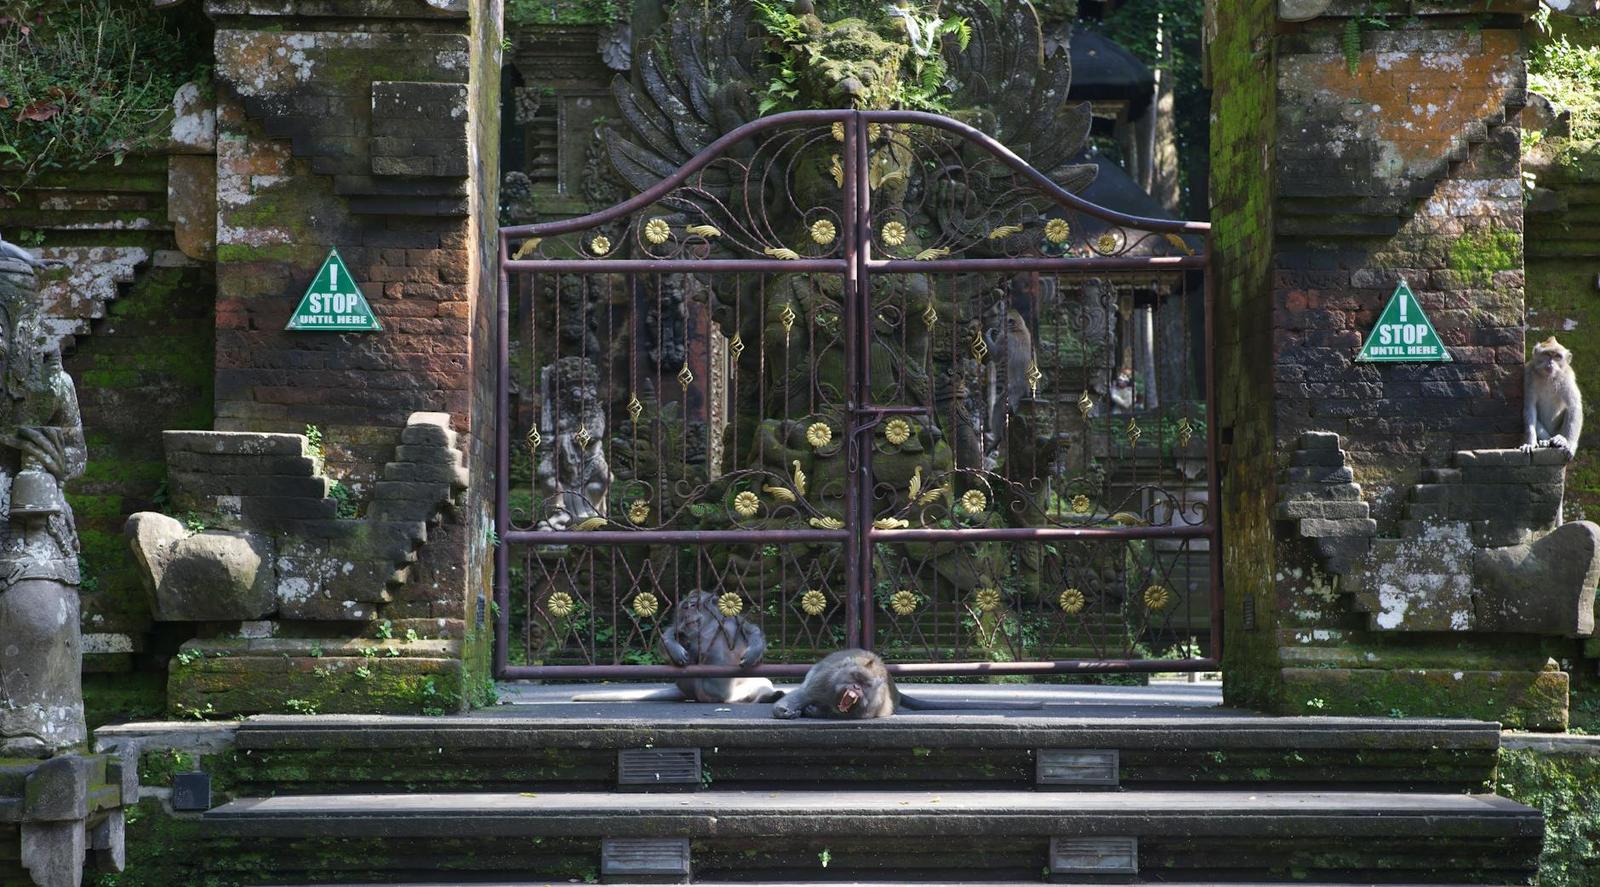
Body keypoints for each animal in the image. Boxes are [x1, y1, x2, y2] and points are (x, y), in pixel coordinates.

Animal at [572, 590, 784, 704]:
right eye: (684, 606)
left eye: (692, 604)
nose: (686, 610)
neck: (709, 626)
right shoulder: (684, 629)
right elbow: (668, 638)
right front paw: (678, 650)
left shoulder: (733, 621)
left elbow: (751, 631)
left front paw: (752, 653)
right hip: (699, 691)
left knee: (762, 682)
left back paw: (769, 696)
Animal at [771, 649, 1042, 719]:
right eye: (855, 679)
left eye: (865, 685)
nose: (856, 689)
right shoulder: (824, 681)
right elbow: (804, 693)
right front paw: (785, 710)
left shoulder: (870, 707)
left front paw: (815, 711)